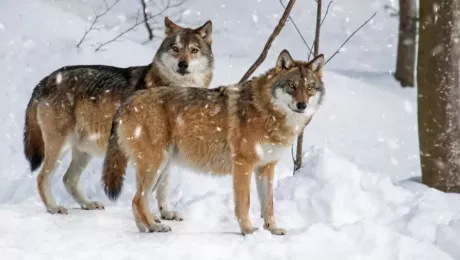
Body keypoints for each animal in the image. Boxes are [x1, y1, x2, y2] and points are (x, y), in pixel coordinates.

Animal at [22, 16, 215, 215]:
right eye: (175, 49)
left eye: (194, 50)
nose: (183, 64)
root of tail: (45, 80)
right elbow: (150, 189)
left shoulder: (169, 155)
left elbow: (163, 187)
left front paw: (166, 213)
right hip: (60, 146)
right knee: (42, 177)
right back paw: (53, 207)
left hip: (85, 150)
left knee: (68, 179)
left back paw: (88, 204)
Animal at [102, 49, 326, 235]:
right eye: (292, 86)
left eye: (309, 88)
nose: (302, 105)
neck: (268, 113)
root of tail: (127, 101)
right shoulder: (243, 164)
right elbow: (244, 203)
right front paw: (248, 230)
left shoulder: (266, 167)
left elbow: (268, 205)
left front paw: (273, 230)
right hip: (155, 166)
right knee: (138, 199)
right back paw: (155, 226)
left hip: (162, 168)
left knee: (137, 201)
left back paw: (146, 228)